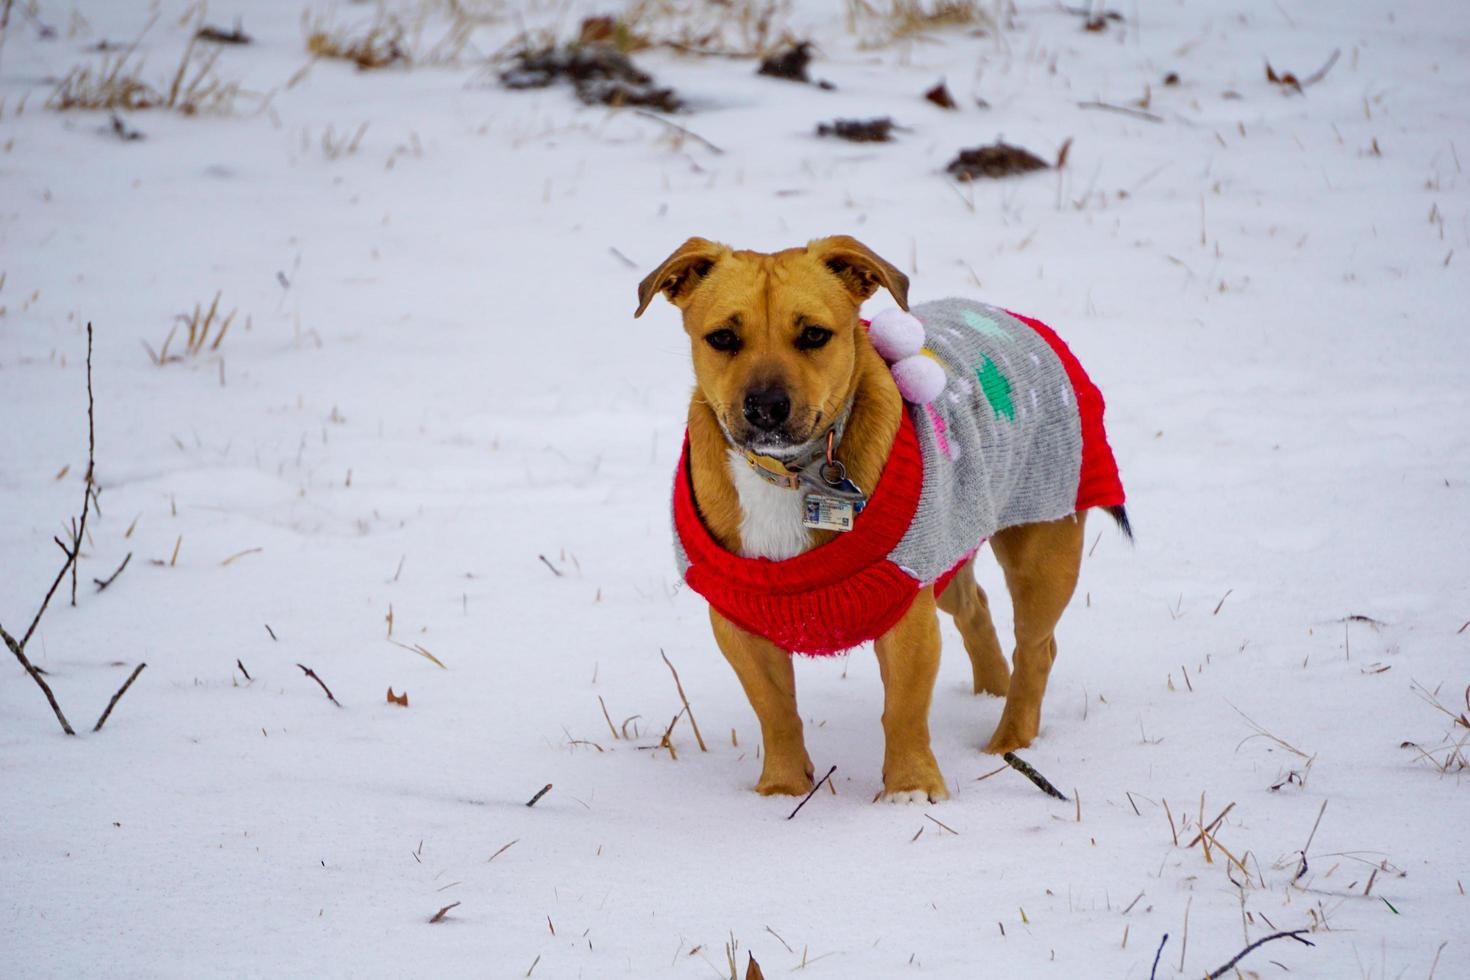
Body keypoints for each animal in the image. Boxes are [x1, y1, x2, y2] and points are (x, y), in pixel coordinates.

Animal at [635, 238, 1123, 805]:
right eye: (722, 338)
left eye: (814, 335)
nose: (766, 407)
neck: (788, 474)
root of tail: (1015, 318)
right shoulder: (737, 618)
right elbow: (775, 711)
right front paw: (782, 789)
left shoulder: (906, 600)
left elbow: (904, 708)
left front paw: (910, 789)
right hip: (952, 543)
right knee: (975, 608)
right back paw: (991, 691)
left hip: (1043, 546)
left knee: (1038, 648)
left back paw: (1009, 740)